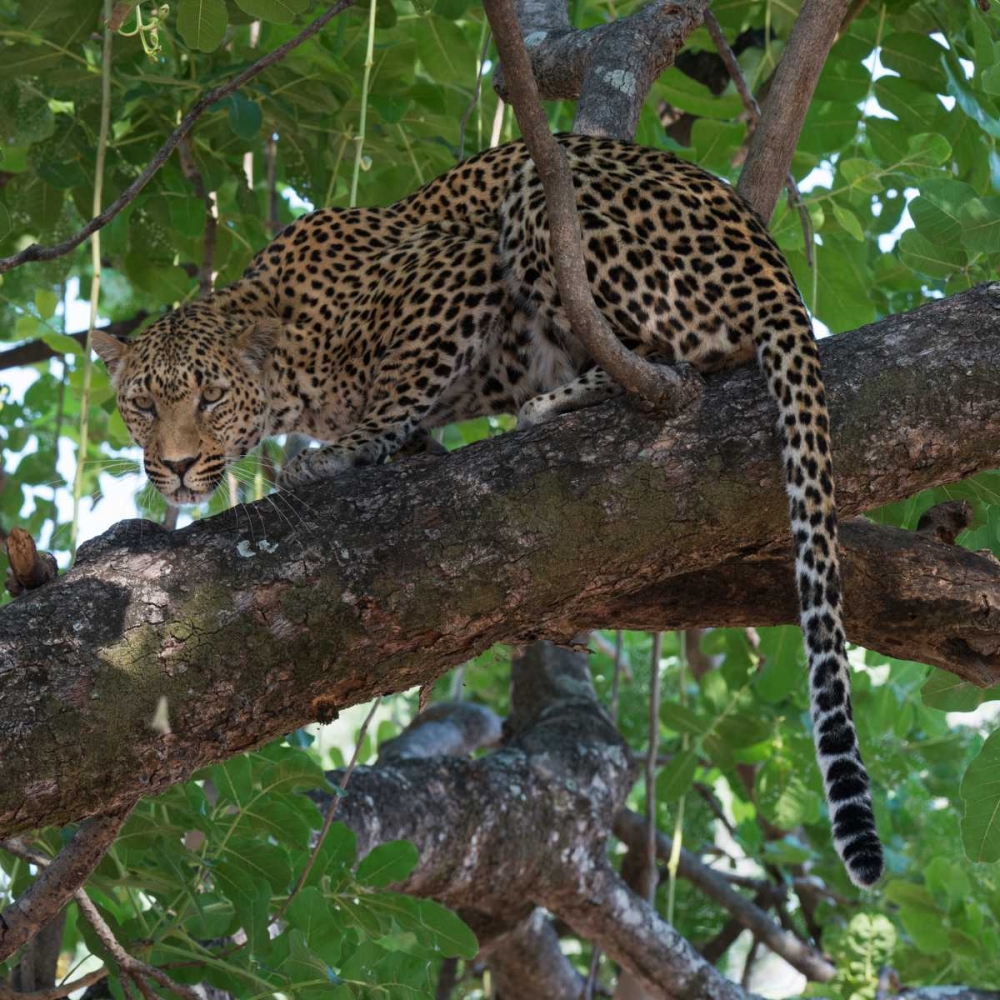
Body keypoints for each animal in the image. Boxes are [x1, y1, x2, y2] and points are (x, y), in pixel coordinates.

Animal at [93, 132, 884, 888]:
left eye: (210, 398)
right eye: (142, 404)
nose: (177, 466)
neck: (288, 360)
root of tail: (773, 265)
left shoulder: (453, 267)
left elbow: (401, 382)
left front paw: (345, 449)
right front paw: (402, 449)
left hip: (544, 197)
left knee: (679, 360)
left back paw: (553, 402)